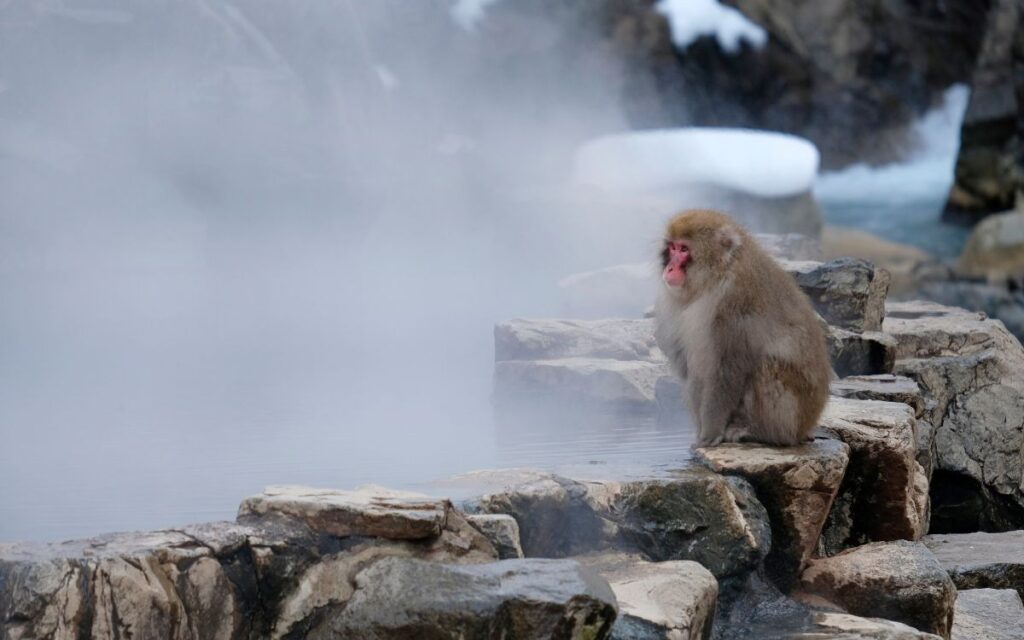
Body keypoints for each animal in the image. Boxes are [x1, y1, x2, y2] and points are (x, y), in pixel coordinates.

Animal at [655, 209, 831, 444]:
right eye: (672, 247)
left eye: (684, 249)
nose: (670, 268)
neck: (716, 275)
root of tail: (807, 425)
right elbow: (691, 368)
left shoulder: (733, 304)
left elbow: (727, 368)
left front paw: (710, 432)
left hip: (793, 415)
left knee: (767, 366)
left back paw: (760, 432)